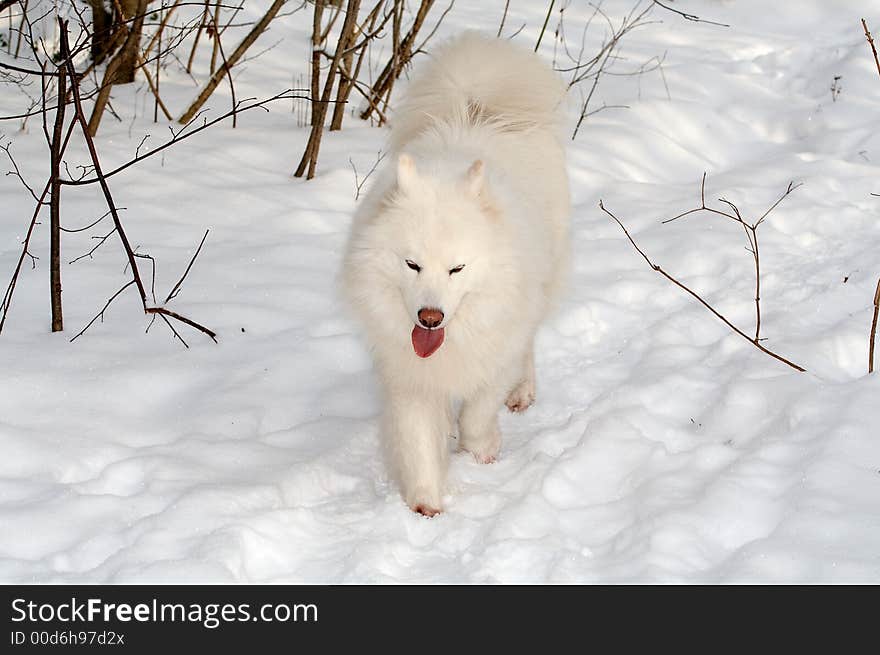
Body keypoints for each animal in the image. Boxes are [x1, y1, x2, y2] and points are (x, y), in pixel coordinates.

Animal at [336, 32, 572, 516]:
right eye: (412, 264)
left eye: (456, 268)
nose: (430, 318)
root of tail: (477, 108)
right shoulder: (408, 373)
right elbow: (418, 439)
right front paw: (426, 503)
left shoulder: (494, 350)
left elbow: (479, 411)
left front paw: (482, 450)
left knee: (529, 345)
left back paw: (522, 392)